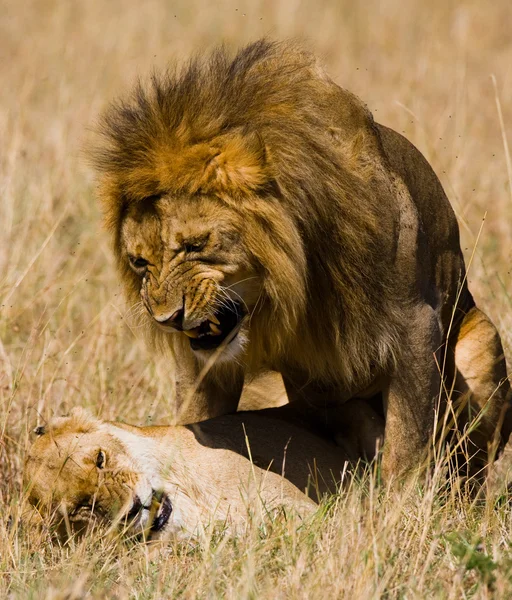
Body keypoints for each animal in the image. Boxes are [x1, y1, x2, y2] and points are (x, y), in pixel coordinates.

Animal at [90, 39, 510, 480]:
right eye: (140, 262)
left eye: (194, 245)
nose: (166, 319)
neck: (291, 286)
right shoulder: (204, 362)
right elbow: (195, 419)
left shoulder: (416, 326)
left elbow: (409, 446)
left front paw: (401, 497)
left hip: (482, 346)